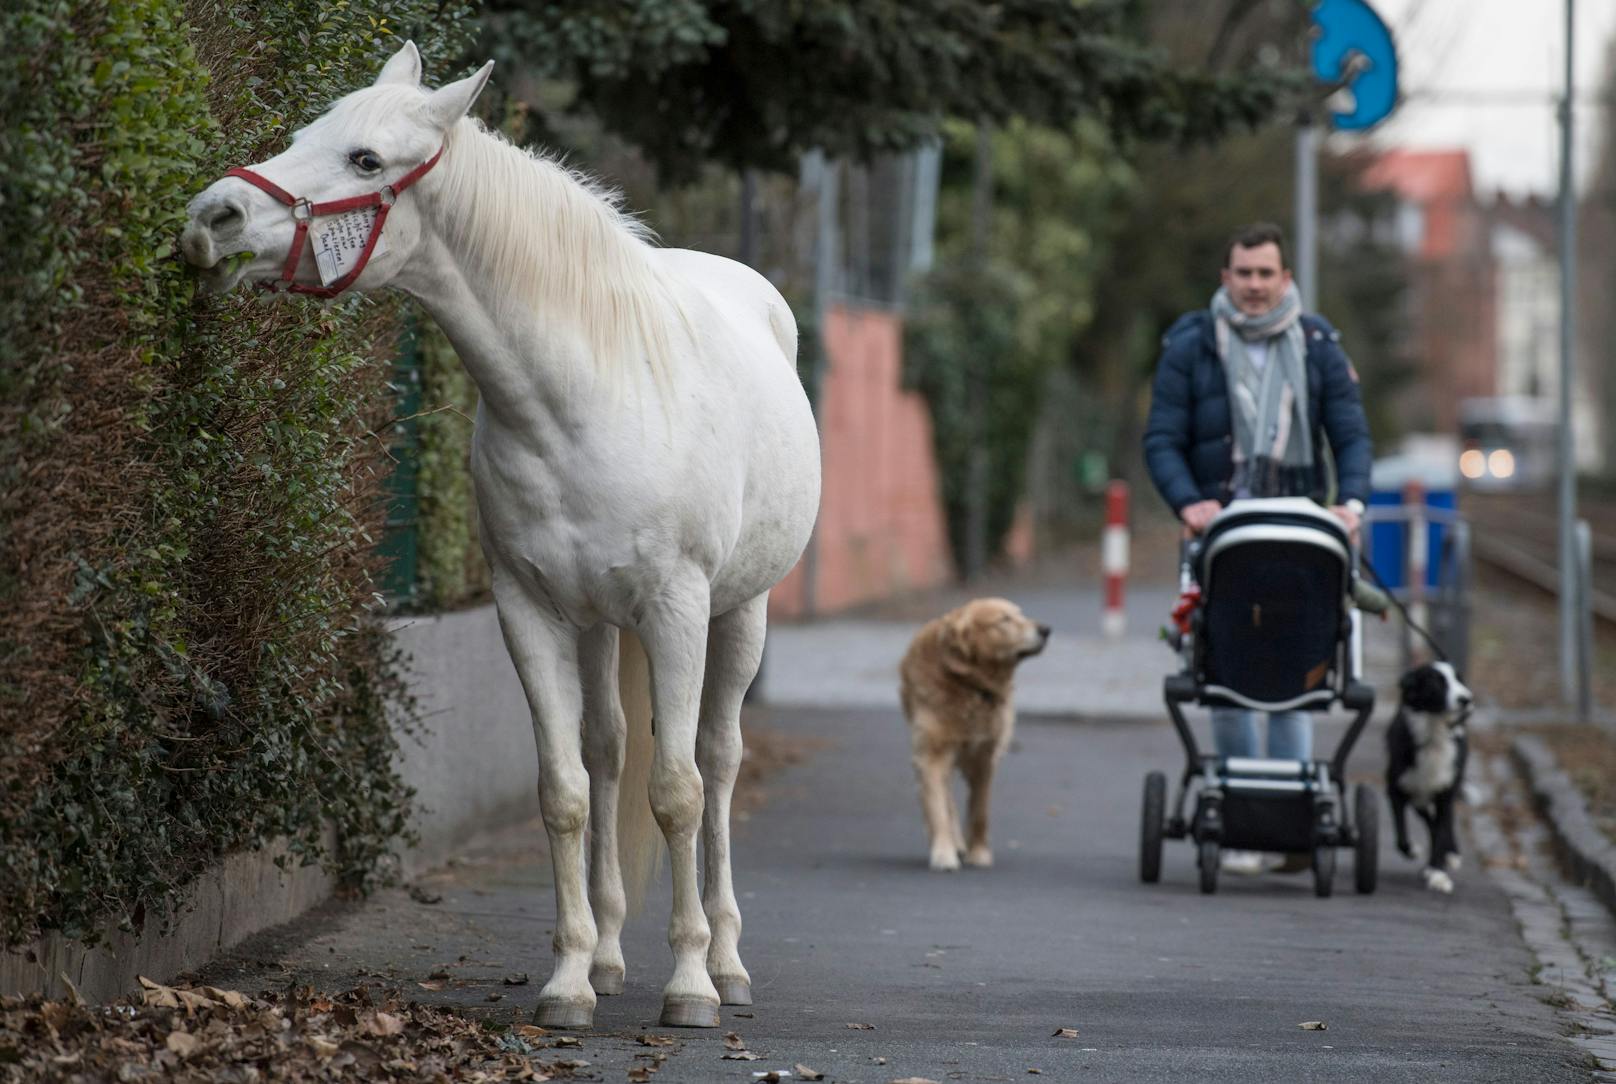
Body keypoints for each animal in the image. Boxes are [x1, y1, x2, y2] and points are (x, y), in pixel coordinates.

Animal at [180, 42, 820, 1027]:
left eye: (366, 159)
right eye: (305, 133)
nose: (213, 217)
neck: (584, 397)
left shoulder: (677, 608)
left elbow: (677, 793)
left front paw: (689, 987)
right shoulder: (530, 610)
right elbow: (565, 792)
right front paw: (569, 981)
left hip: (738, 612)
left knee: (716, 762)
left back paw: (729, 964)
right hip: (599, 625)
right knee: (609, 752)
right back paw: (610, 959)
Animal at [898, 600, 1047, 872]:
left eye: (1020, 614)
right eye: (1004, 620)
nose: (1046, 630)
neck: (970, 686)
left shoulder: (985, 758)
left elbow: (980, 810)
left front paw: (979, 853)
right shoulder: (931, 755)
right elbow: (937, 806)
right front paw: (943, 852)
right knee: (943, 797)